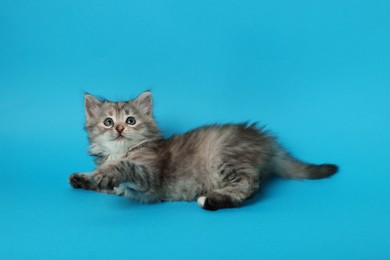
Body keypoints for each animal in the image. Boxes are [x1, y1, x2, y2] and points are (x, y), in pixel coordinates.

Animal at [68, 90, 336, 210]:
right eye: (108, 122)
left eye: (131, 120)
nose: (120, 128)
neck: (120, 151)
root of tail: (262, 138)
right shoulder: (121, 188)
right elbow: (103, 181)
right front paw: (84, 178)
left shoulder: (149, 177)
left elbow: (125, 166)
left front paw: (104, 172)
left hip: (226, 156)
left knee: (249, 184)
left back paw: (211, 199)